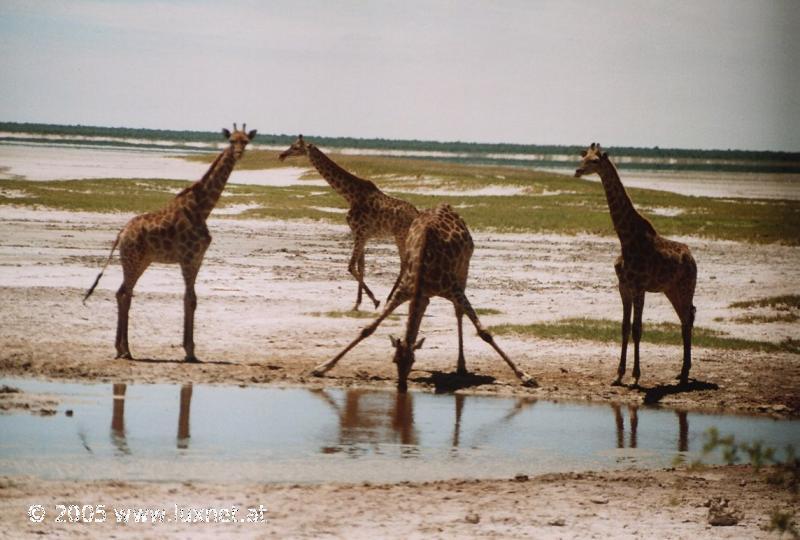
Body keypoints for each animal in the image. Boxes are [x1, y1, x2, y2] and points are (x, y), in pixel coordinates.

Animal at [82, 124, 256, 360]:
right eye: (231, 141)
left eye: (245, 141)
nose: (238, 153)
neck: (202, 209)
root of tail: (121, 234)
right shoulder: (188, 258)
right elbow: (190, 299)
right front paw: (190, 352)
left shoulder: (198, 258)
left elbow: (191, 299)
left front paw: (190, 350)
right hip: (132, 259)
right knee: (125, 293)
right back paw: (126, 350)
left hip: (141, 261)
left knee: (121, 293)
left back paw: (120, 349)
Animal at [310, 202, 536, 392]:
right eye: (395, 360)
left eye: (413, 361)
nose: (402, 386)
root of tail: (447, 206)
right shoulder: (405, 291)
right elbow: (368, 329)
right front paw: (322, 367)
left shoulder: (453, 289)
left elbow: (484, 332)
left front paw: (525, 376)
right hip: (427, 295)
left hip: (463, 271)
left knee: (458, 313)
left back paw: (461, 365)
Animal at [572, 143, 696, 386]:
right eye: (584, 157)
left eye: (595, 161)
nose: (578, 171)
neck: (626, 239)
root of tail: (693, 259)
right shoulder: (623, 287)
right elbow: (624, 327)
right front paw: (618, 374)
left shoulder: (639, 287)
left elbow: (637, 328)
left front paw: (635, 376)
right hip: (672, 290)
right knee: (686, 318)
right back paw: (682, 372)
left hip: (686, 287)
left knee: (688, 318)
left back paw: (685, 373)